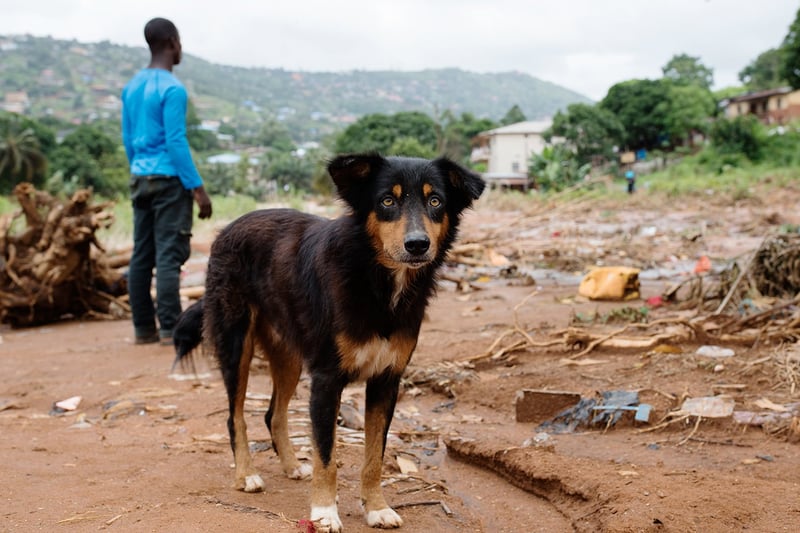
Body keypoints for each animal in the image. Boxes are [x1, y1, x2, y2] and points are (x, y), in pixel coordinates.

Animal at [173, 153, 484, 528]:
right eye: (387, 201)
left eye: (435, 201)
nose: (417, 244)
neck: (376, 279)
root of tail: (228, 229)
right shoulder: (326, 379)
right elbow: (326, 456)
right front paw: (323, 512)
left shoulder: (386, 381)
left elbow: (375, 457)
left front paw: (376, 507)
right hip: (236, 345)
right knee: (236, 417)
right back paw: (246, 474)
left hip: (289, 357)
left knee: (273, 414)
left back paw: (292, 466)